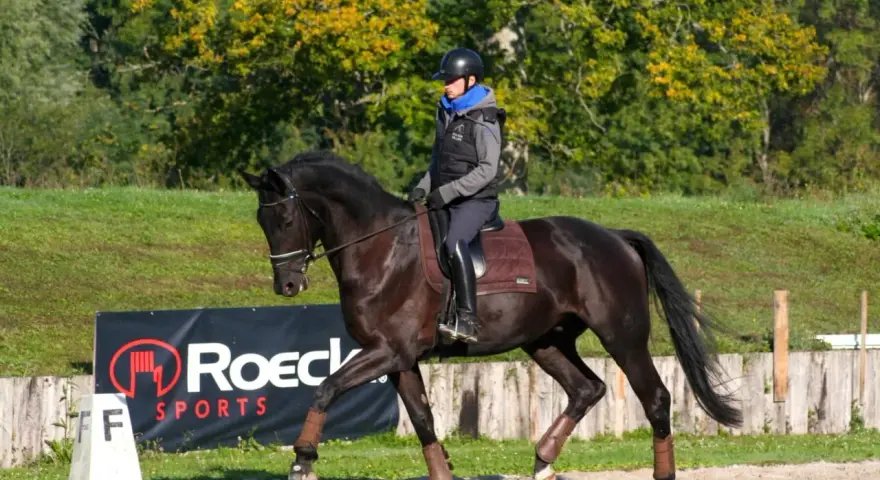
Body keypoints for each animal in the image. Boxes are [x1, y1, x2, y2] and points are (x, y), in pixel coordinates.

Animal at [239, 150, 742, 480]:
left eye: (285, 220)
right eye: (262, 222)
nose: (287, 286)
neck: (381, 246)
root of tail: (614, 237)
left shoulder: (387, 351)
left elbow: (326, 387)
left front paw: (303, 457)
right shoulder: (400, 359)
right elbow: (422, 420)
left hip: (623, 337)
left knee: (655, 398)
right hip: (546, 341)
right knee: (587, 388)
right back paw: (543, 459)